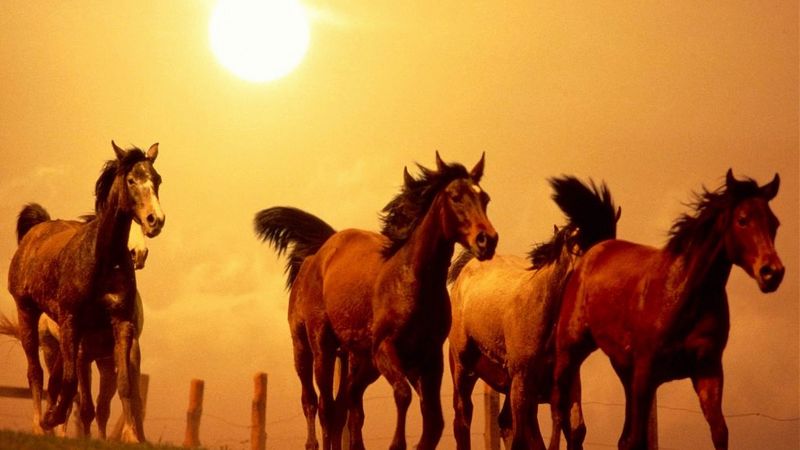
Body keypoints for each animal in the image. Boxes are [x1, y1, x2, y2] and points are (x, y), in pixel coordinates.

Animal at [7, 141, 164, 442]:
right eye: (131, 180)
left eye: (158, 180)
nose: (155, 220)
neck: (101, 260)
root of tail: (38, 228)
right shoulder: (73, 328)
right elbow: (75, 391)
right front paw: (53, 418)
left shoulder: (121, 328)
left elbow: (125, 388)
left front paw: (133, 437)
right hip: (28, 315)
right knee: (36, 374)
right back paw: (40, 425)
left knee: (56, 382)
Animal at [255, 153, 498, 450]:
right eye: (455, 196)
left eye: (484, 198)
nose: (487, 240)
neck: (412, 282)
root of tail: (317, 255)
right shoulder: (385, 349)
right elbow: (403, 395)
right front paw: (397, 443)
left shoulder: (428, 358)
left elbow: (433, 423)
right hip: (313, 347)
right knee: (318, 404)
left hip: (357, 360)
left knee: (344, 404)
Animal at [447, 176, 620, 450]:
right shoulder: (523, 381)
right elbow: (525, 438)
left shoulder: (569, 383)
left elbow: (575, 431)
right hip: (463, 368)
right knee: (462, 419)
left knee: (505, 422)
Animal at [550, 169, 784, 450]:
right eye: (742, 220)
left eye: (774, 223)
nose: (772, 273)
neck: (683, 296)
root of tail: (596, 249)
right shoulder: (645, 373)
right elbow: (637, 438)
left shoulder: (708, 371)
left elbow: (719, 432)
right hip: (569, 351)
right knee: (559, 410)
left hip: (623, 369)